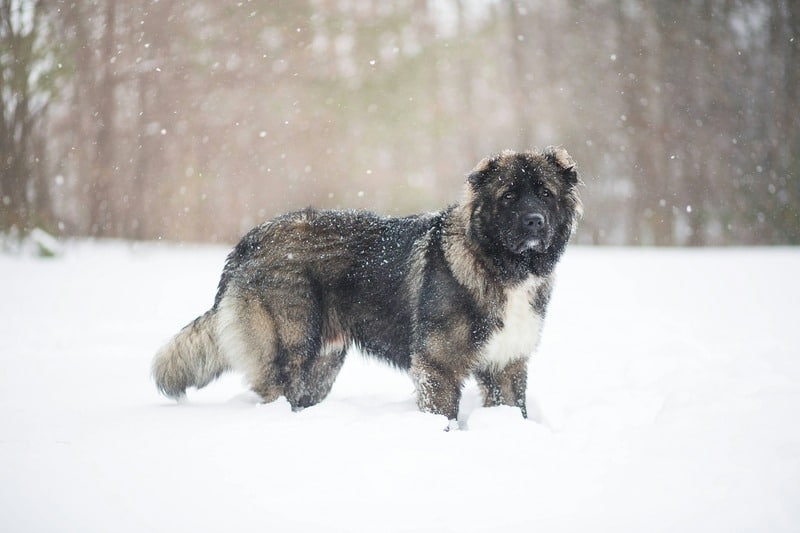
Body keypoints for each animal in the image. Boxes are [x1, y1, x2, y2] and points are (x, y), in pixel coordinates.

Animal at [155, 148, 580, 426]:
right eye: (508, 196)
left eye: (545, 193)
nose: (535, 221)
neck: (499, 265)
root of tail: (249, 241)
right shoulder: (438, 366)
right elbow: (443, 415)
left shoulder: (507, 364)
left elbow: (514, 409)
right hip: (290, 350)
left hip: (323, 364)